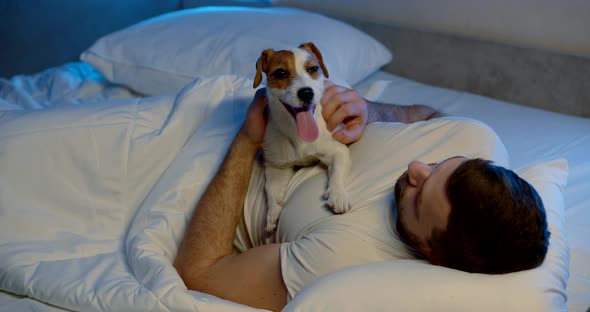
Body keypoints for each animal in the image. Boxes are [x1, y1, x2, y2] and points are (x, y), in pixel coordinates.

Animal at [253, 42, 352, 232]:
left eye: (313, 68)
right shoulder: (276, 166)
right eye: (281, 73)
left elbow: (337, 171)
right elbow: (271, 189)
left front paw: (338, 194)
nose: (306, 93)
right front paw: (272, 213)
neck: (297, 134)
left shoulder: (337, 150)